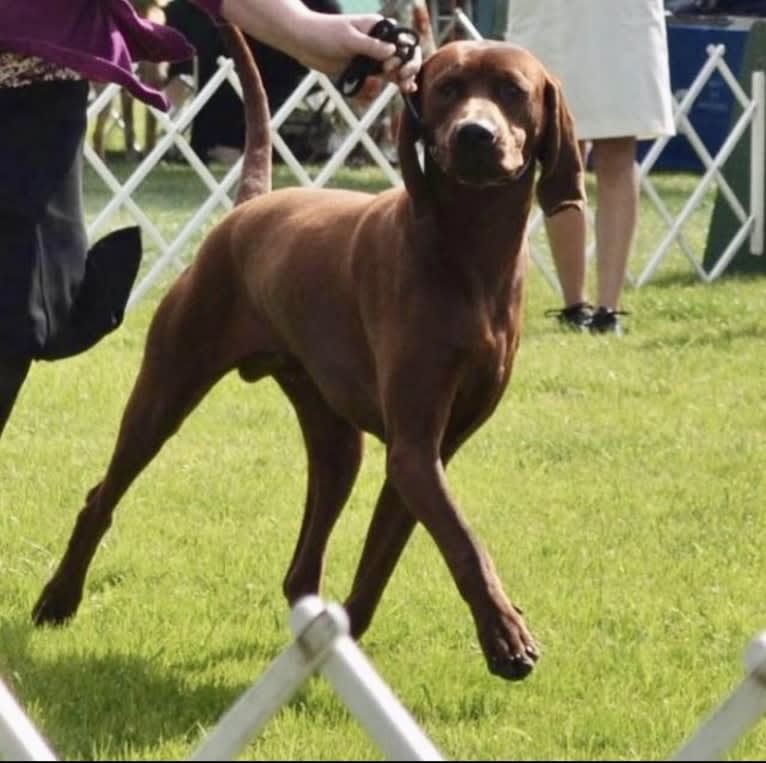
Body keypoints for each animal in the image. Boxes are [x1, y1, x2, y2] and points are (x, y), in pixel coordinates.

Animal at [33, 26, 584, 680]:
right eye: (448, 89)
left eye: (512, 90)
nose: (475, 135)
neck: (472, 255)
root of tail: (250, 205)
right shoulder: (415, 450)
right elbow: (465, 541)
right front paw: (504, 634)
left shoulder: (425, 453)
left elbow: (385, 555)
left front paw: (351, 642)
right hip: (164, 392)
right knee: (103, 495)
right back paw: (59, 598)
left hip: (336, 441)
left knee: (302, 566)